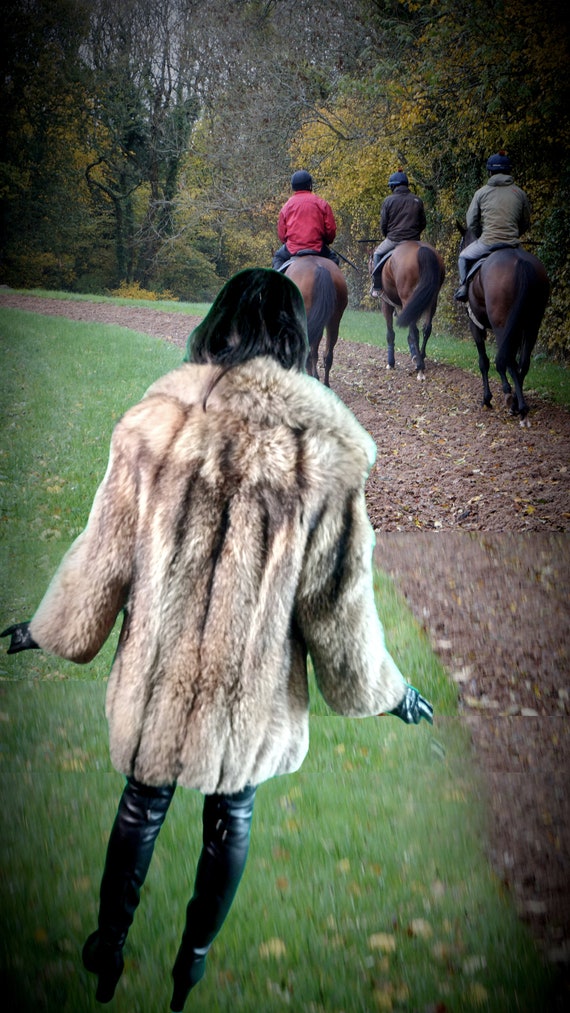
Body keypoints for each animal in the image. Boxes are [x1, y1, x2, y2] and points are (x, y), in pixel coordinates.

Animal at [372, 241, 447, 380]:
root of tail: (422, 249)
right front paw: (414, 355)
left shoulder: (386, 303)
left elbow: (390, 333)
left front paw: (391, 363)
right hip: (432, 300)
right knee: (426, 329)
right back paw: (421, 357)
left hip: (408, 298)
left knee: (414, 332)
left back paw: (420, 368)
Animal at [457, 225, 550, 423]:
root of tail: (521, 262)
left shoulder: (475, 326)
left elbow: (484, 361)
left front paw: (488, 398)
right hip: (531, 326)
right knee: (523, 362)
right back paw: (517, 402)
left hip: (503, 326)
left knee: (507, 360)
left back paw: (515, 402)